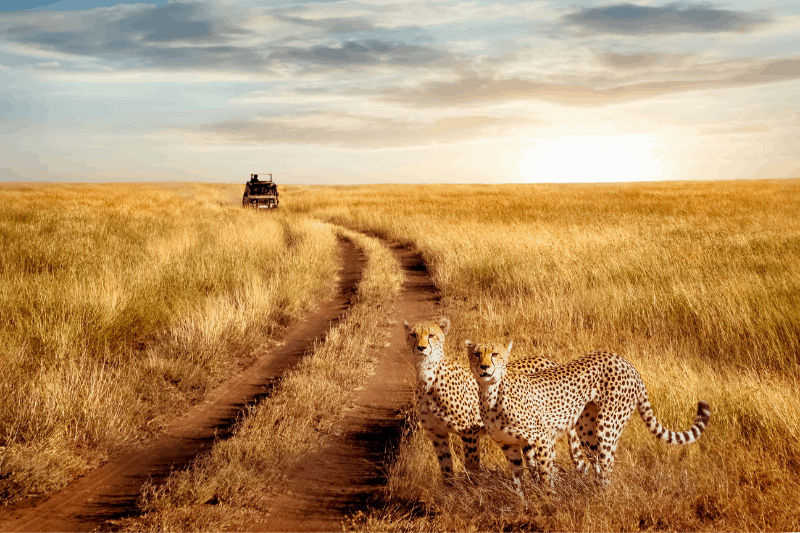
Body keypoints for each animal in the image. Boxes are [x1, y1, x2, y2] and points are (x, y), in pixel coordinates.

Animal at [406, 318, 588, 476]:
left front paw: (472, 488)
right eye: (413, 335)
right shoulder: (436, 434)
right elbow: (446, 471)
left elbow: (471, 466)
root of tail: (550, 361)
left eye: (431, 335)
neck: (427, 375)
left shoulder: (469, 432)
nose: (421, 348)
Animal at [466, 340, 708, 490]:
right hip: (586, 430)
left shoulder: (543, 438)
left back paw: (602, 499)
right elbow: (518, 481)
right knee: (598, 462)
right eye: (477, 354)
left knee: (607, 464)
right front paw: (524, 504)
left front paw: (548, 503)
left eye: (495, 354)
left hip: (607, 426)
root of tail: (624, 360)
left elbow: (545, 475)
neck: (491, 392)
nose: (484, 367)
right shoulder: (509, 445)